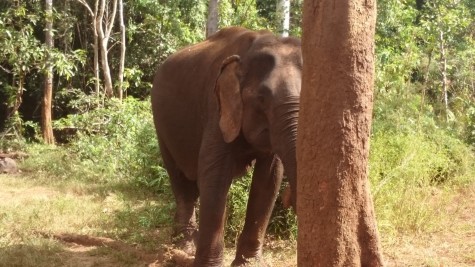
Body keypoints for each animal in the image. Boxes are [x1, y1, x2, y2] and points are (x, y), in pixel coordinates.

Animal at [152, 26, 302, 266]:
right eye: (262, 98)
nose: (289, 199)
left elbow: (268, 179)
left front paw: (248, 263)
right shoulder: (216, 108)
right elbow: (214, 175)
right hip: (160, 124)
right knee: (180, 179)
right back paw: (182, 247)